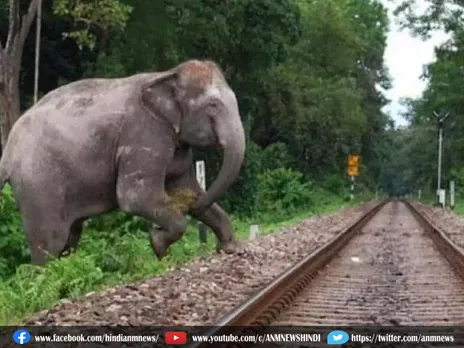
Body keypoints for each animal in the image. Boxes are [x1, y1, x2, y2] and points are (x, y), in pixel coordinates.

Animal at [0, 59, 246, 264]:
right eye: (213, 105)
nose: (157, 227)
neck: (167, 74)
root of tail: (7, 152)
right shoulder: (143, 134)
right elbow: (134, 196)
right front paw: (158, 245)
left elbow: (186, 187)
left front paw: (231, 249)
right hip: (39, 184)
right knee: (51, 241)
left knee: (70, 236)